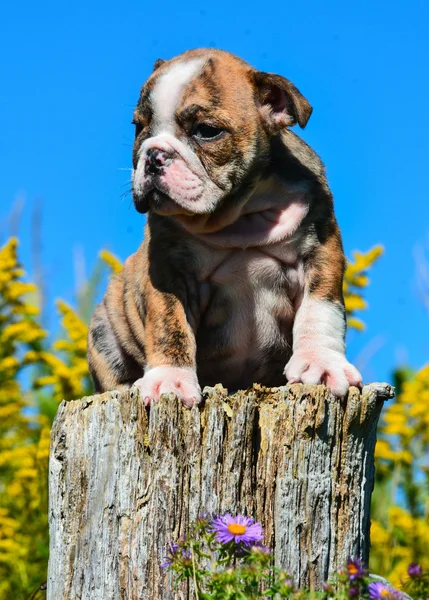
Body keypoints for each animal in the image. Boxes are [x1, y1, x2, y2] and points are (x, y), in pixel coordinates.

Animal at [87, 48, 362, 408]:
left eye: (206, 131)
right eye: (139, 128)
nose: (154, 155)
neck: (239, 215)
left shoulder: (321, 251)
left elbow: (321, 309)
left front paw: (321, 363)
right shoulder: (167, 271)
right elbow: (169, 325)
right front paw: (170, 381)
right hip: (105, 329)